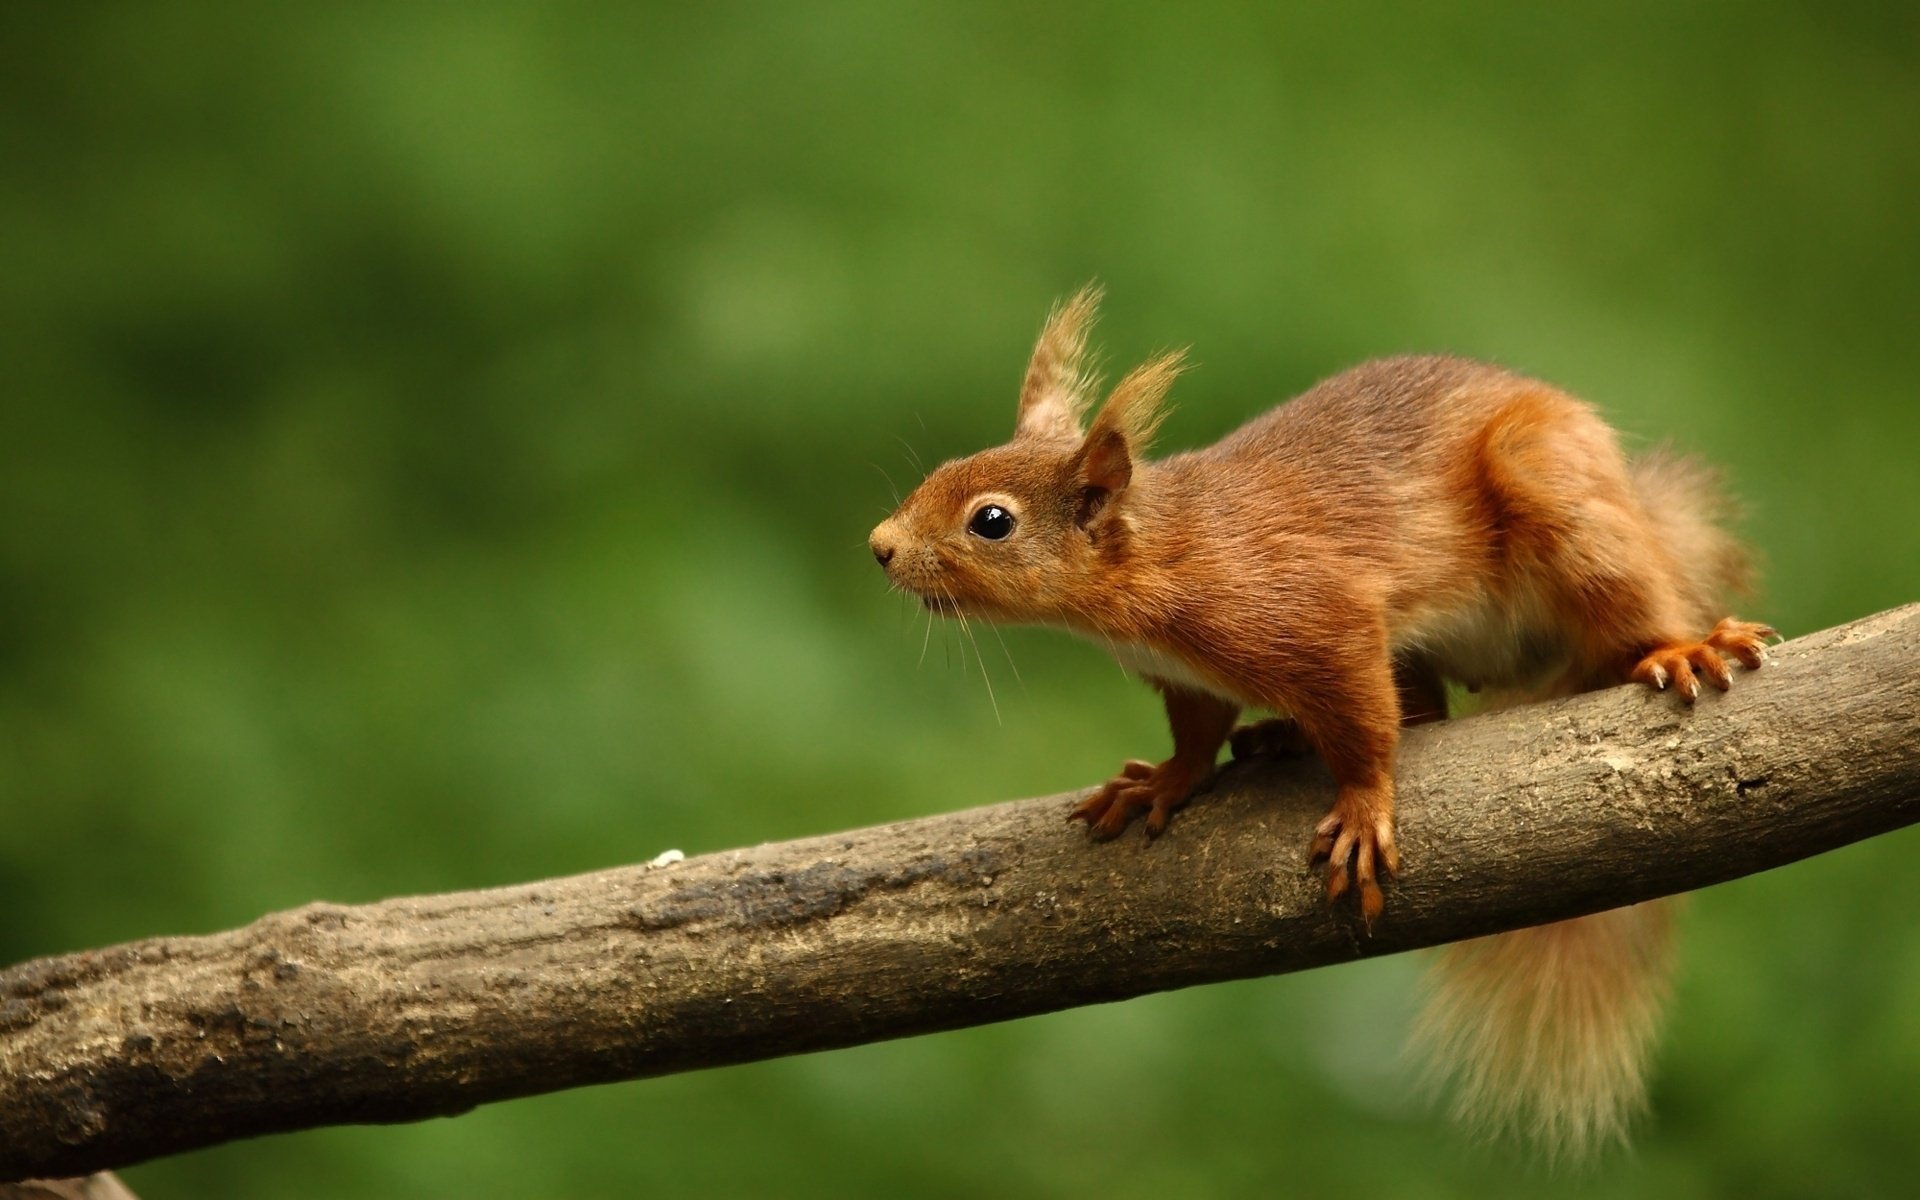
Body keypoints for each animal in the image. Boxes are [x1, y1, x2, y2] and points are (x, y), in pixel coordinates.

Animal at [867, 288, 1766, 1152]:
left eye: (991, 521)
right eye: (945, 468)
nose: (878, 545)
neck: (1160, 559)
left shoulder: (1317, 620)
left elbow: (1365, 727)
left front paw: (1363, 809)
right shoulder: (1186, 678)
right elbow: (1198, 735)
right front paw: (1164, 783)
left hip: (1556, 496)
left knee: (1623, 605)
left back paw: (1680, 645)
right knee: (1427, 708)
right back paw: (1282, 735)